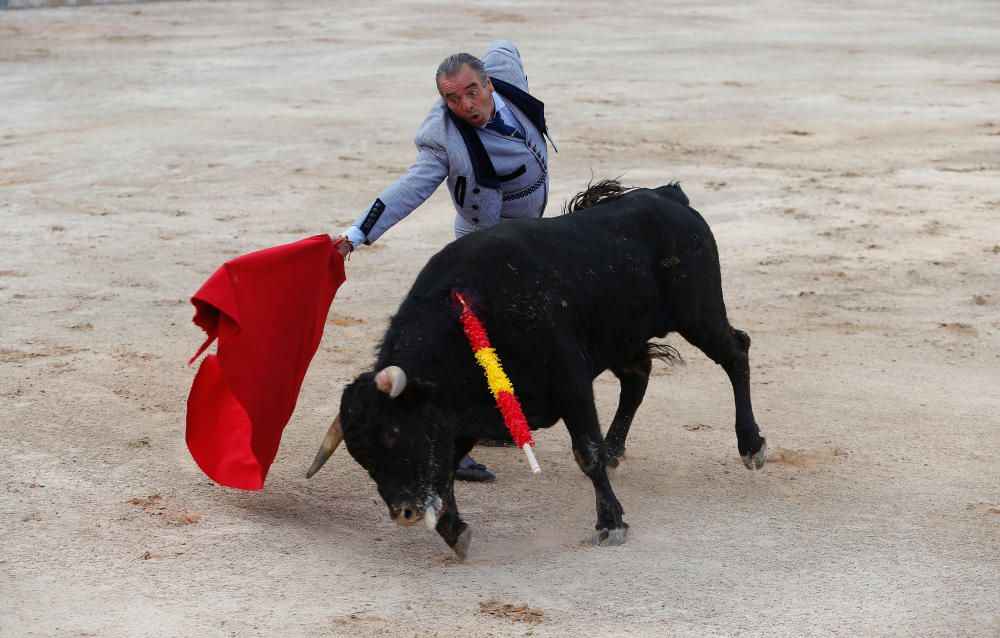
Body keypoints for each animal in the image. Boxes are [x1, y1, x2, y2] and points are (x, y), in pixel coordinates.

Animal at [308, 182, 768, 556]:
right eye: (360, 456)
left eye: (392, 433)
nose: (403, 512)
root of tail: (668, 197)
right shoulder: (461, 416)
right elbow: (446, 473)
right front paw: (455, 532)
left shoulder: (572, 386)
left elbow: (587, 453)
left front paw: (611, 523)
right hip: (623, 337)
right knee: (638, 376)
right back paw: (618, 448)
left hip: (699, 312)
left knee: (736, 353)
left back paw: (751, 446)